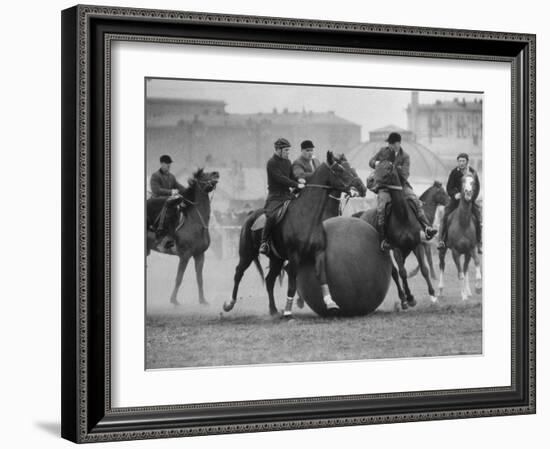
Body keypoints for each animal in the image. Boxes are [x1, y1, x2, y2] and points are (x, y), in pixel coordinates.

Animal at [147, 168, 220, 304]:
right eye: (203, 175)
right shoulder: (185, 256)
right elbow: (179, 278)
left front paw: (202, 301)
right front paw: (174, 300)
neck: (195, 221)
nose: (216, 173)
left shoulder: (199, 255)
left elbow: (200, 279)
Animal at [224, 152, 358, 316]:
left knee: (269, 280)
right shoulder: (294, 256)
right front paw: (288, 310)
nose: (357, 187)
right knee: (238, 273)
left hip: (276, 259)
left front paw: (330, 303)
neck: (307, 215)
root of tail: (250, 215)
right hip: (246, 254)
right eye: (339, 170)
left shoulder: (318, 253)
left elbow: (322, 276)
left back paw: (273, 309)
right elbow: (293, 283)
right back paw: (229, 304)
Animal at [362, 159, 440, 310]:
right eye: (376, 166)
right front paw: (409, 298)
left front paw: (433, 295)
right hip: (388, 251)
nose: (369, 180)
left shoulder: (417, 245)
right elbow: (402, 273)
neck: (403, 216)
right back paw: (403, 299)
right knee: (394, 272)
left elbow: (424, 269)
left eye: (388, 168)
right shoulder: (396, 248)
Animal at [440, 172, 484, 300]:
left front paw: (478, 288)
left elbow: (476, 264)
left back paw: (468, 291)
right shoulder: (455, 252)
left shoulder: (472, 248)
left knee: (465, 268)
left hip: (467, 253)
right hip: (443, 250)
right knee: (442, 265)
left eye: (473, 182)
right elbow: (460, 274)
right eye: (462, 181)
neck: (463, 222)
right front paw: (463, 296)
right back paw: (440, 291)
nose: (468, 192)